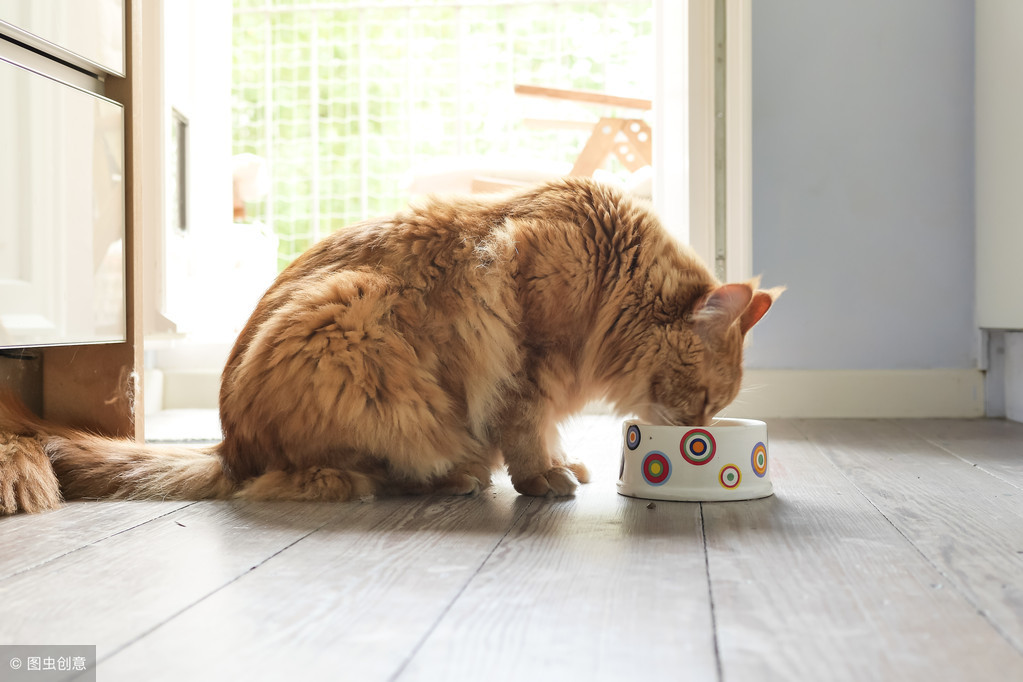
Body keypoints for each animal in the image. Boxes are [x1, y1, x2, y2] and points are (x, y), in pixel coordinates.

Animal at [0, 178, 777, 515]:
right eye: (706, 399)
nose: (701, 430)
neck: (607, 272)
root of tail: (228, 445)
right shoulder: (526, 366)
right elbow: (527, 437)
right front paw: (545, 480)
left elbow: (547, 433)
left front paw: (565, 464)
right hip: (353, 330)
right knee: (330, 479)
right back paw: (450, 480)